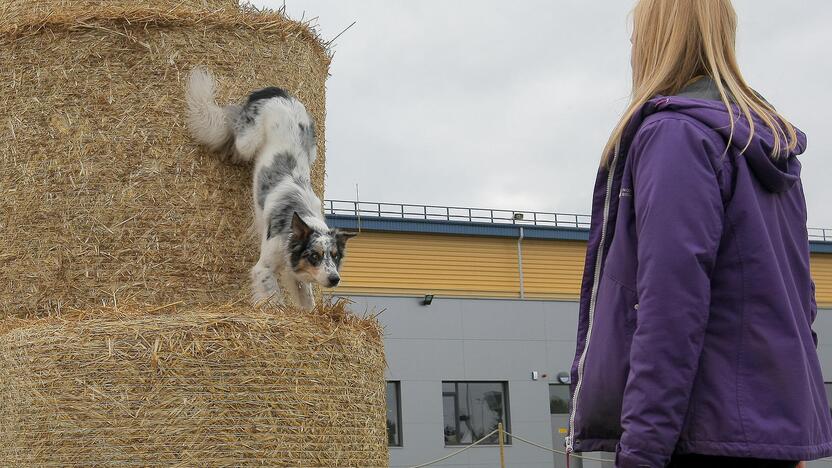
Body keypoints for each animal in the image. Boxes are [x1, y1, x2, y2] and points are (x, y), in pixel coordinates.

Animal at [187, 67, 356, 308]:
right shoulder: (263, 267)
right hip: (248, 140)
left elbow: (307, 302)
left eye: (334, 256)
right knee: (232, 123)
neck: (298, 218)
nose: (335, 279)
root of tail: (278, 92)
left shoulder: (297, 273)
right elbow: (273, 297)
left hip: (312, 148)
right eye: (314, 255)